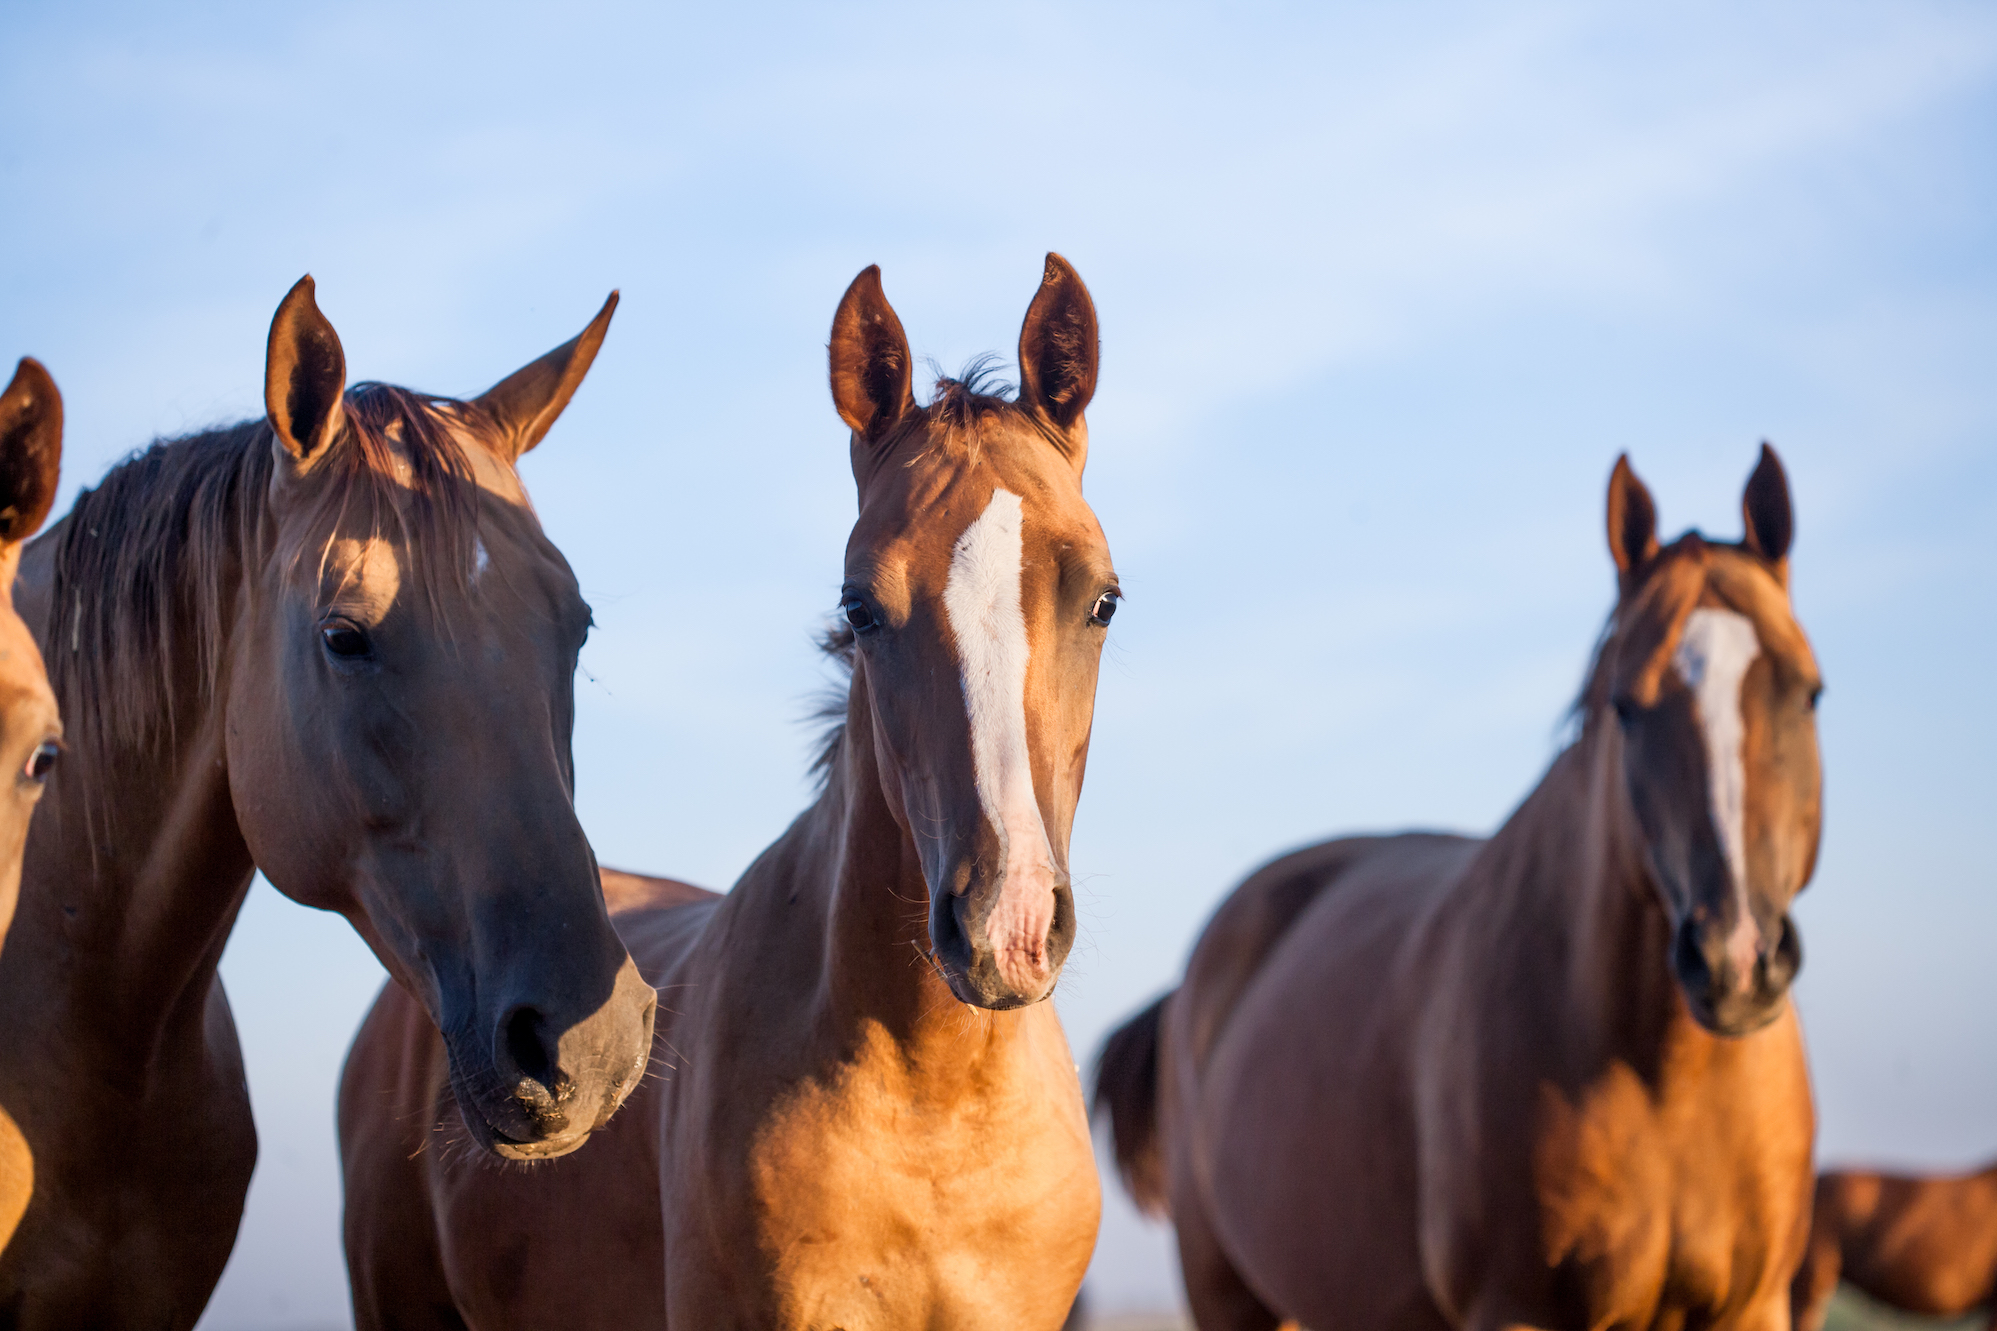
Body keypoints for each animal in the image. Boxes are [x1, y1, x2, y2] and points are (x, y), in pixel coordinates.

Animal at [1094, 445, 1829, 1327]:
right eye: (1626, 707)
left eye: (1807, 692)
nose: (1735, 959)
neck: (1666, 1080)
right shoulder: (1510, 1305)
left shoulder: (1754, 1305)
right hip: (1228, 1293)